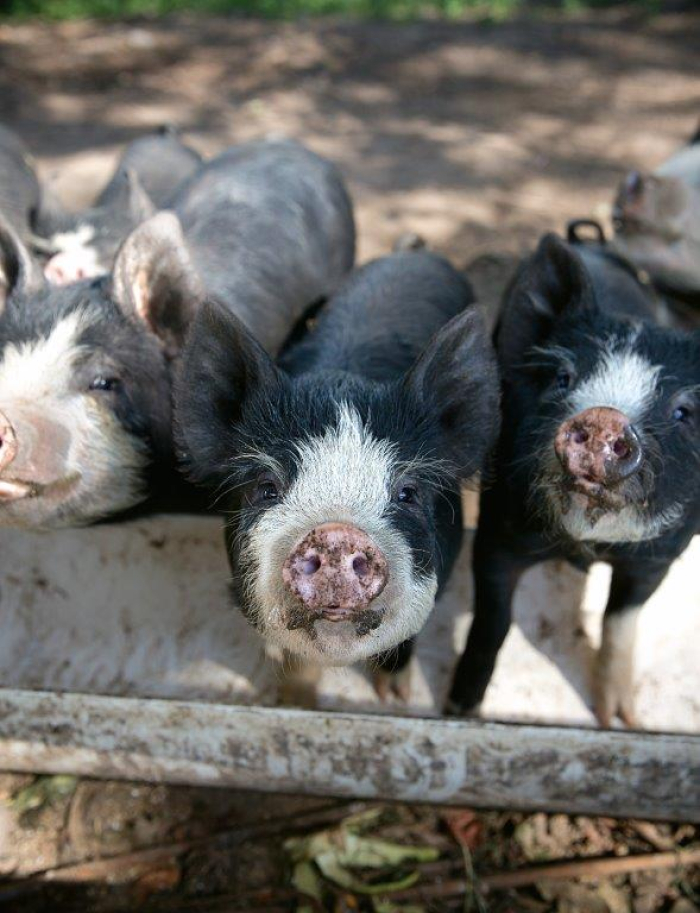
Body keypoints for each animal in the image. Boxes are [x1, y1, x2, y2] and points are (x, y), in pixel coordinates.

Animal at [446, 233, 700, 728]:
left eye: (683, 411)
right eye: (563, 379)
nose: (604, 417)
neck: (585, 545)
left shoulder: (661, 554)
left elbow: (620, 622)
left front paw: (620, 722)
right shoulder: (497, 527)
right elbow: (493, 621)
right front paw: (460, 711)